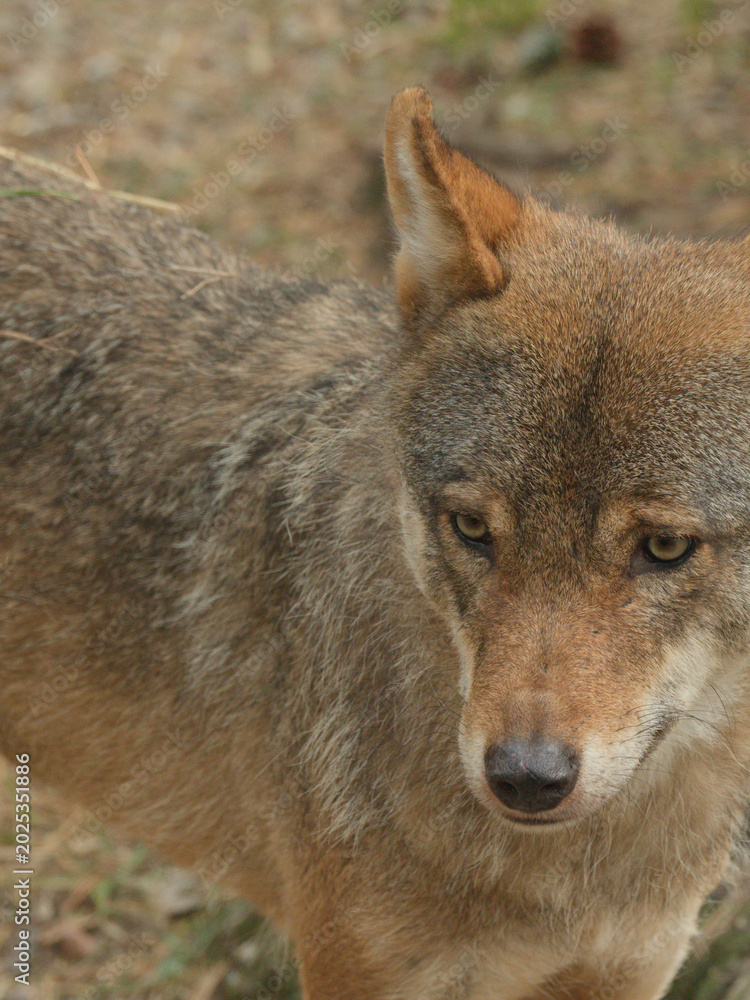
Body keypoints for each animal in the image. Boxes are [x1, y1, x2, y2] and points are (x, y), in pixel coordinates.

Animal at [1, 87, 750, 999]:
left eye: (666, 547)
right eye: (471, 528)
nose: (524, 777)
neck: (567, 876)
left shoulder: (631, 970)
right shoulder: (353, 967)